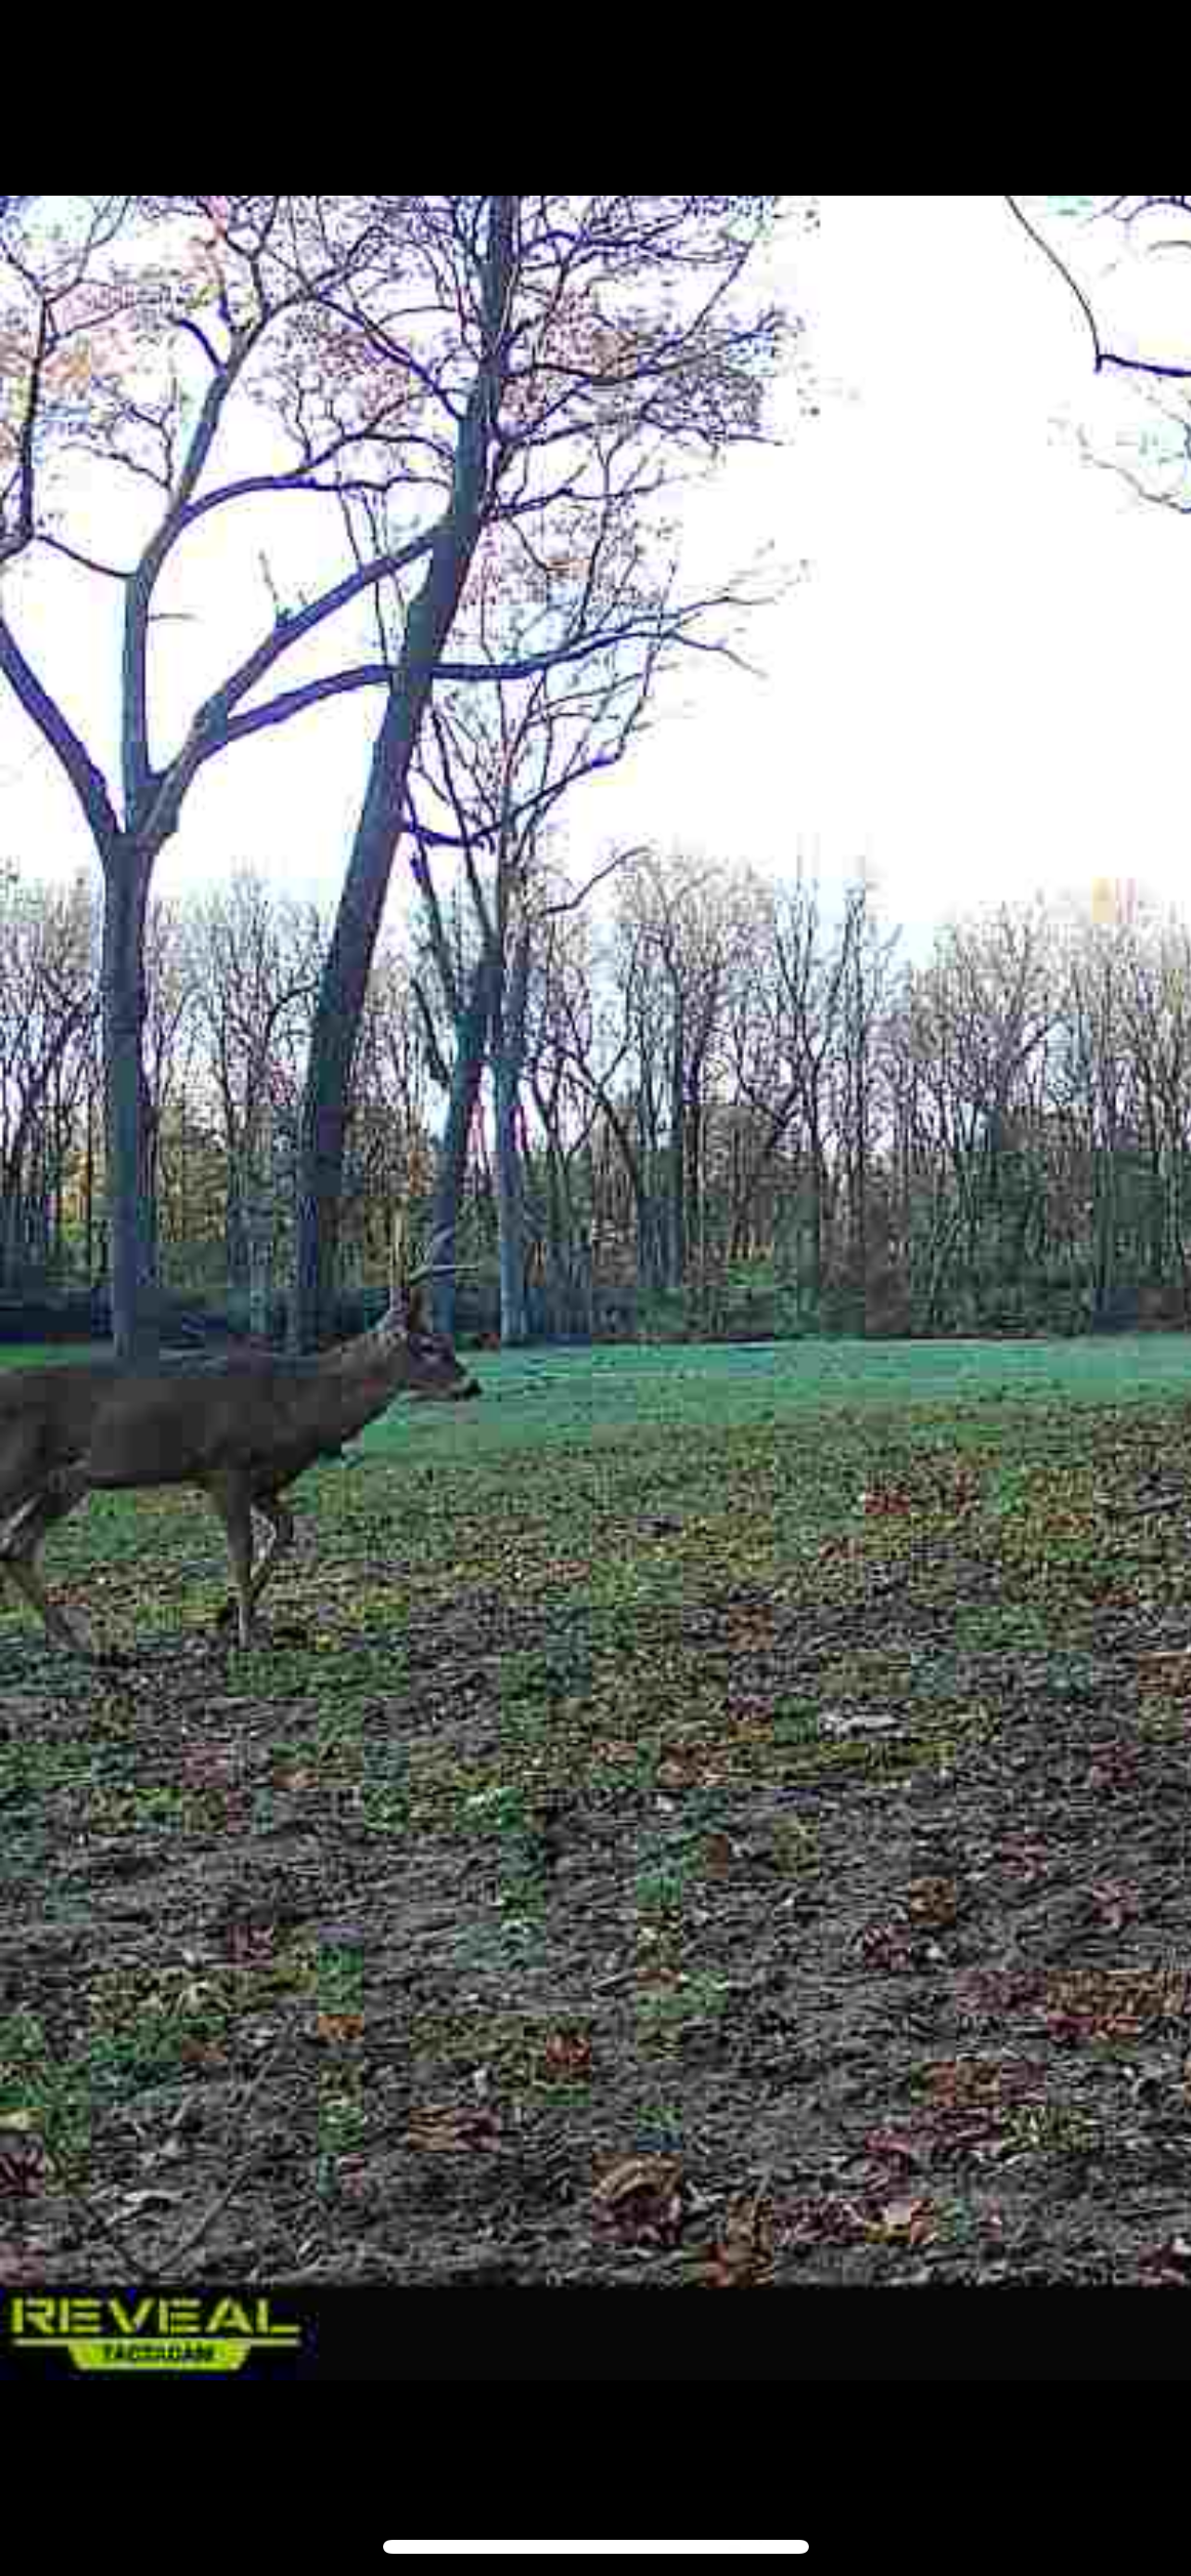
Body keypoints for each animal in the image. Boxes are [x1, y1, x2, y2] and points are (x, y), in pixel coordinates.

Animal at [0, 1236, 480, 1660]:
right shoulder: (222, 1467)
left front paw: (232, 1614)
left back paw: (81, 1646)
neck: (298, 1405)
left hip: (65, 1482)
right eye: (429, 1347)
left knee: (16, 1547)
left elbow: (284, 1530)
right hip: (19, 1468)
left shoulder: (263, 1481)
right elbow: (241, 1549)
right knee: (15, 1543)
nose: (471, 1385)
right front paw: (249, 1634)